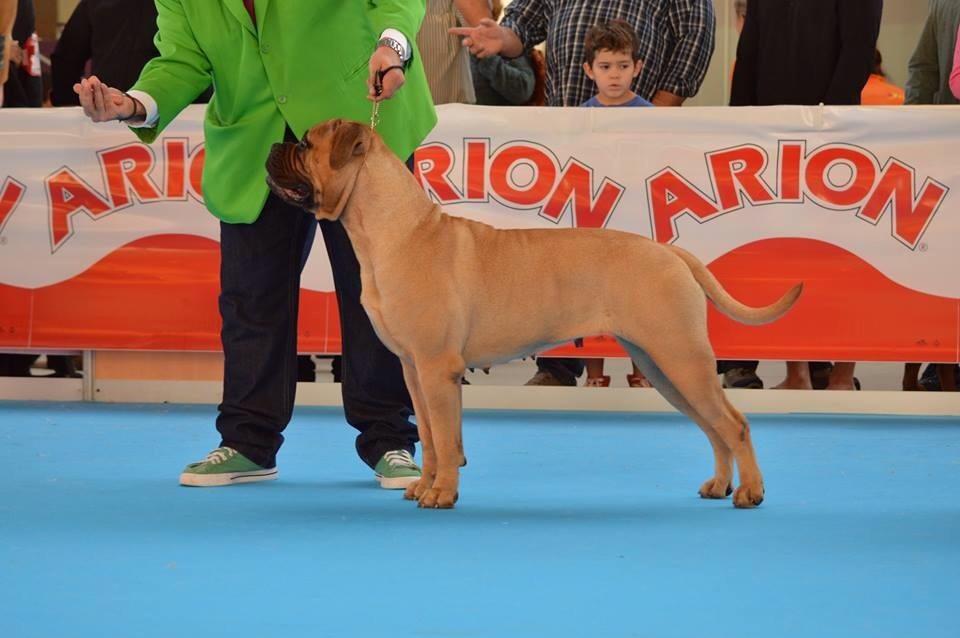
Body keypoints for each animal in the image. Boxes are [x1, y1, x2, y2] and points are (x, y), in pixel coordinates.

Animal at [264, 119, 804, 510]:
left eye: (306, 143)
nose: (271, 146)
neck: (394, 230)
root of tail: (670, 252)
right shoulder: (414, 370)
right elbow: (433, 437)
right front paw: (426, 484)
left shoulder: (437, 369)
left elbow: (445, 436)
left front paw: (442, 493)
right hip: (664, 366)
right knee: (713, 427)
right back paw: (718, 484)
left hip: (681, 357)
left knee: (733, 424)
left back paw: (750, 492)